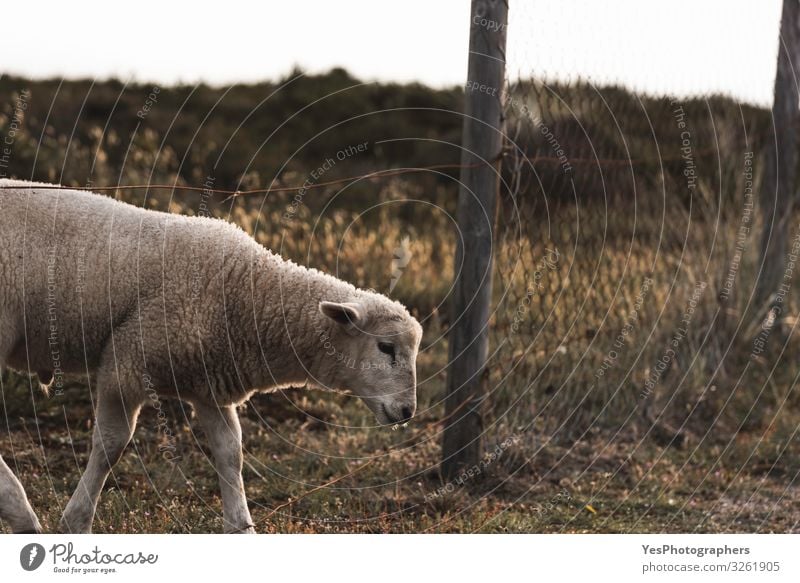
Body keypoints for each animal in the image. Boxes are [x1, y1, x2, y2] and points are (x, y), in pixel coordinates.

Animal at [0, 180, 424, 536]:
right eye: (386, 347)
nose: (407, 411)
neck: (245, 291)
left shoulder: (210, 385)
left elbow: (230, 453)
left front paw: (241, 528)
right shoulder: (128, 363)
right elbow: (111, 447)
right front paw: (76, 522)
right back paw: (21, 512)